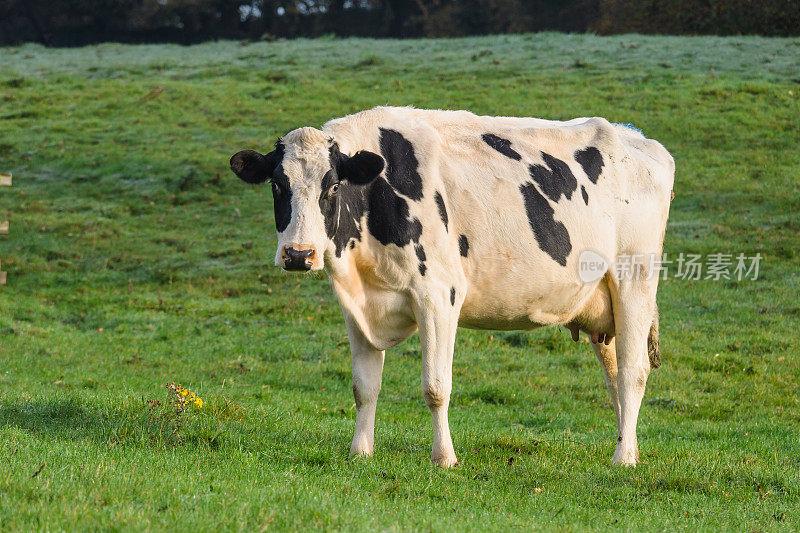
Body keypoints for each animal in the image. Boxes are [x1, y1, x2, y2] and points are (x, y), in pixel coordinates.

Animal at [230, 107, 676, 466]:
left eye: (333, 186)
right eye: (277, 185)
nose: (298, 254)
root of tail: (636, 137)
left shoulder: (437, 295)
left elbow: (436, 387)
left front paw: (444, 457)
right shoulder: (357, 308)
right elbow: (364, 387)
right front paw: (360, 452)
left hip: (634, 279)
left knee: (633, 372)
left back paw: (624, 458)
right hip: (604, 302)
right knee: (615, 374)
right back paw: (628, 445)